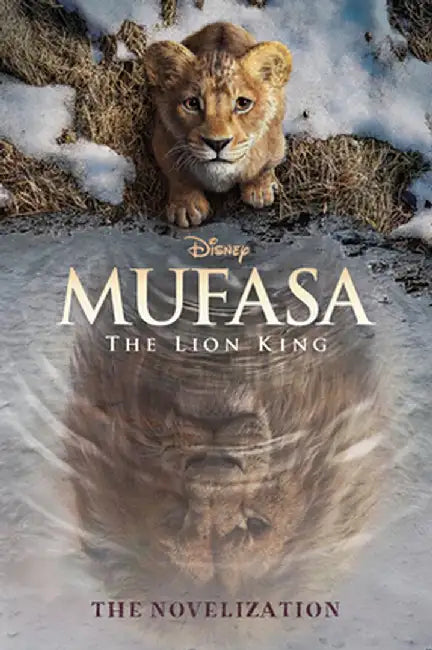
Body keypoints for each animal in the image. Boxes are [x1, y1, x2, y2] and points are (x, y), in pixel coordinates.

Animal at [145, 22, 292, 227]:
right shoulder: (162, 140)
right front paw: (186, 206)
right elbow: (178, 175)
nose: (217, 143)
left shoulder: (276, 141)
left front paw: (260, 190)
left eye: (243, 103)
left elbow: (265, 166)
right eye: (192, 103)